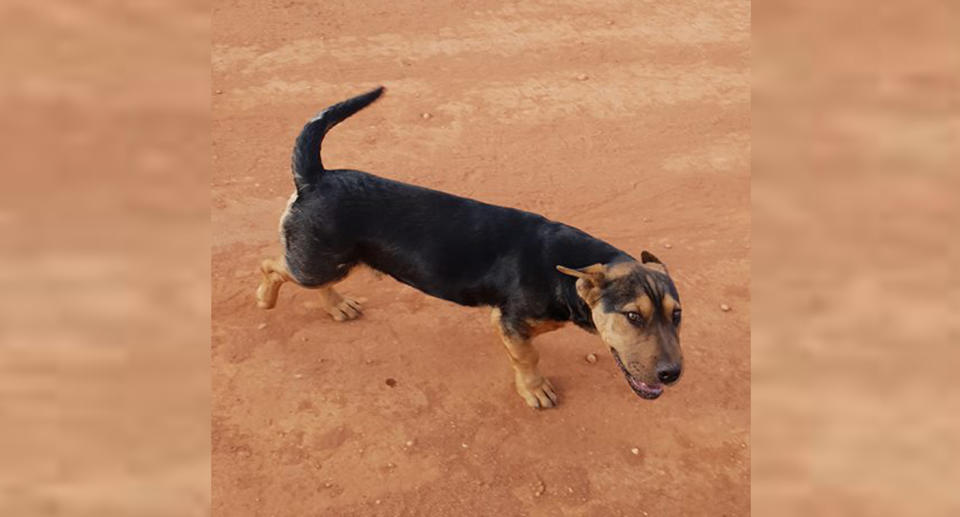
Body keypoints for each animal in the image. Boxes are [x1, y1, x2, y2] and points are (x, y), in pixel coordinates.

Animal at [256, 89, 684, 412]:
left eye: (677, 315)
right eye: (633, 316)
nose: (672, 375)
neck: (563, 273)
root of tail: (316, 177)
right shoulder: (510, 324)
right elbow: (528, 358)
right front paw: (535, 390)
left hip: (329, 263)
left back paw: (337, 306)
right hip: (315, 262)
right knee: (271, 265)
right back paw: (265, 298)